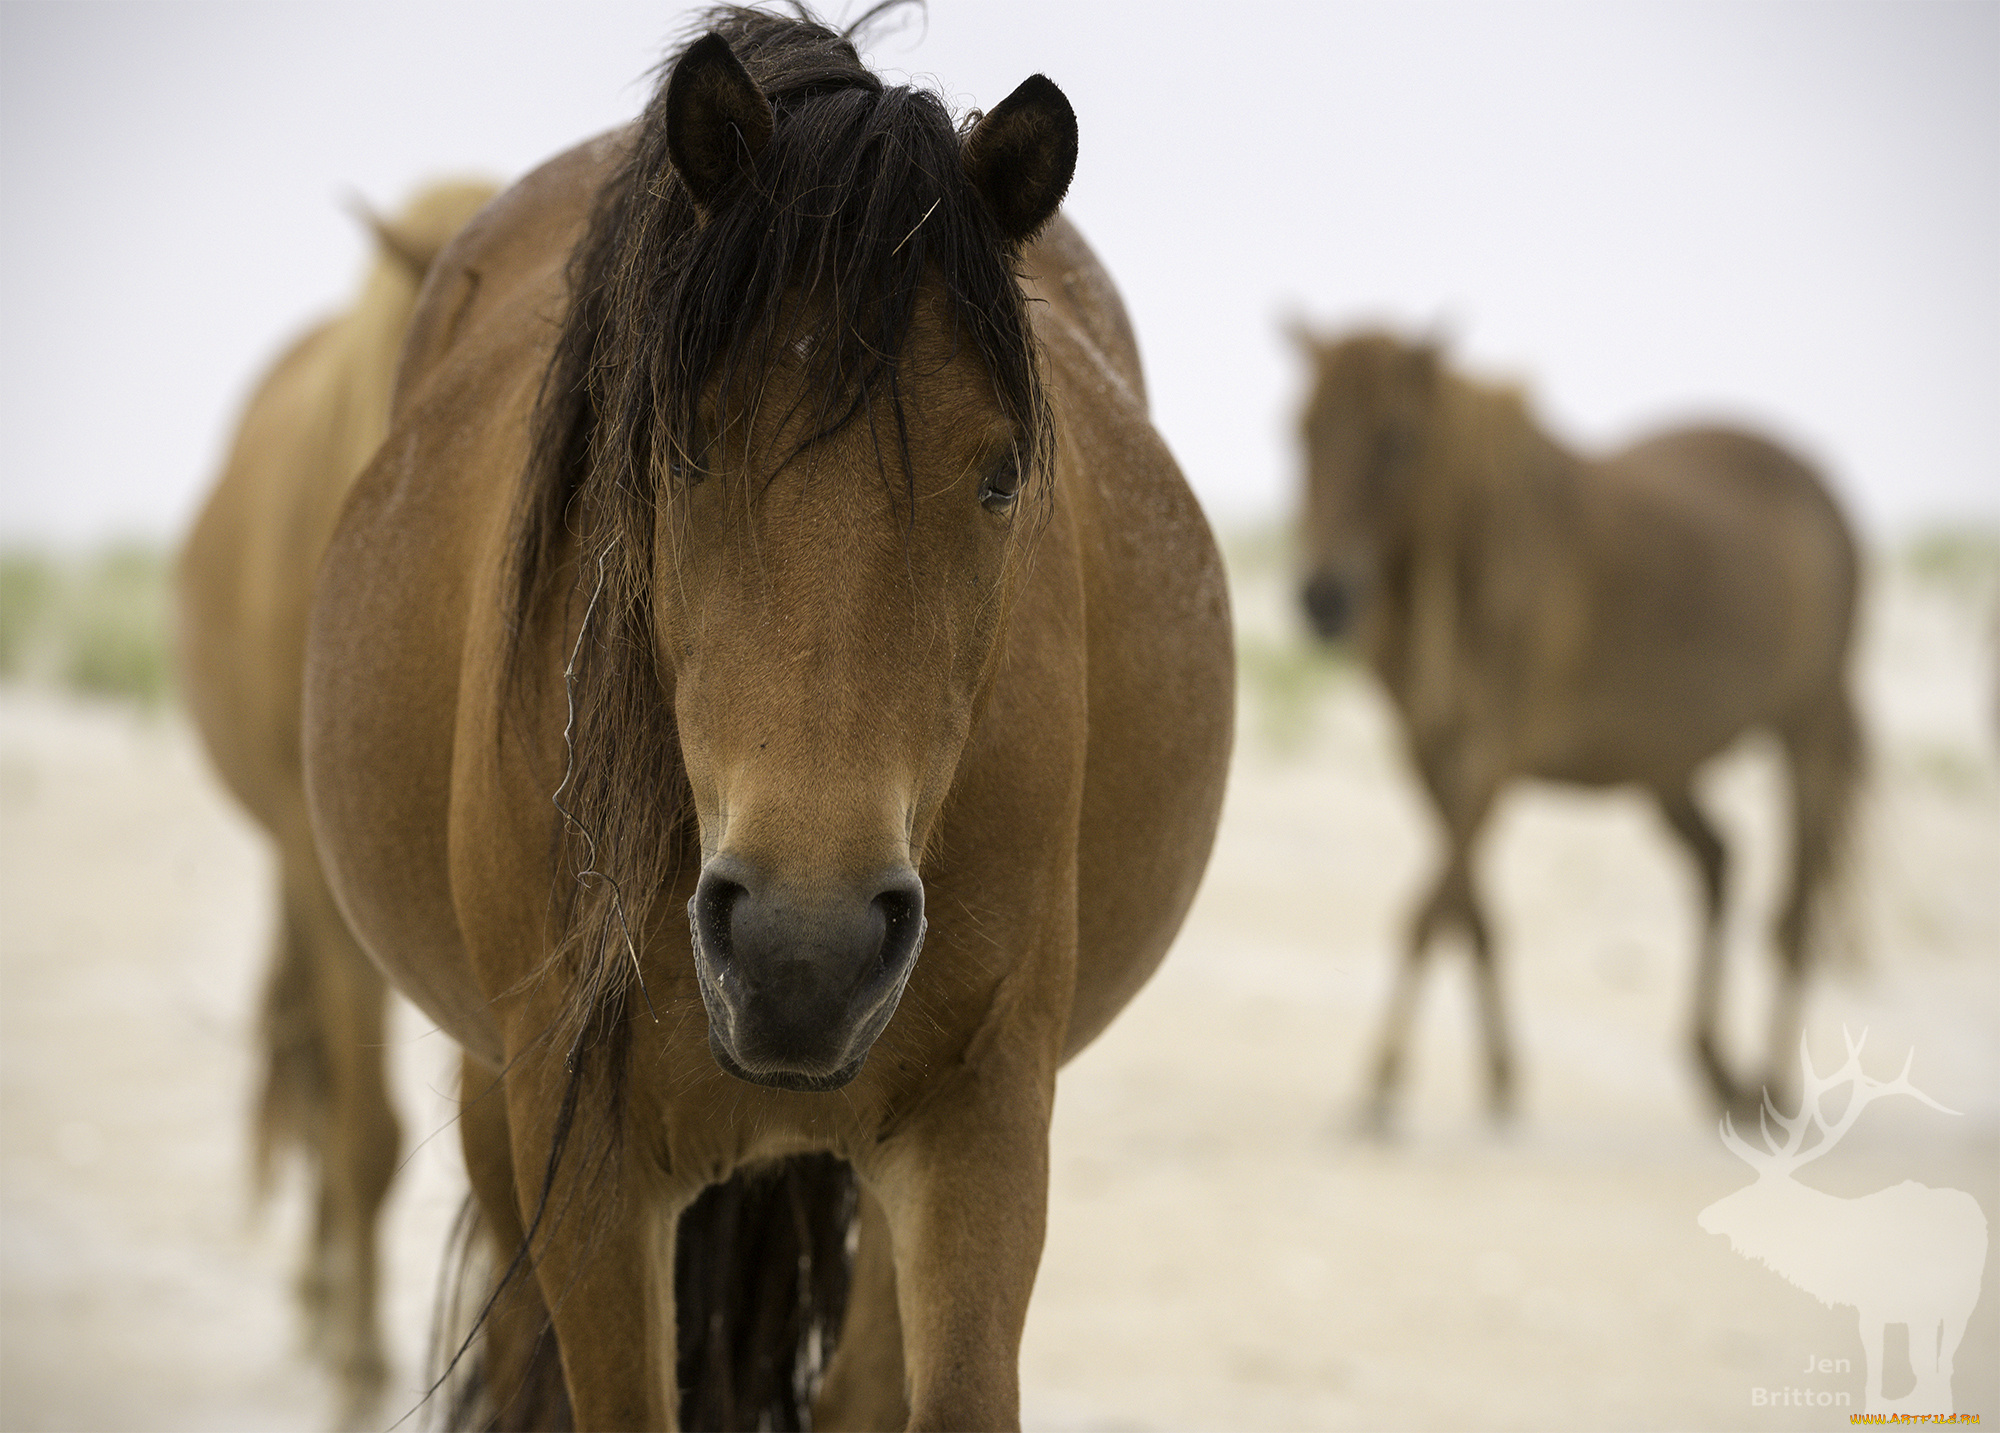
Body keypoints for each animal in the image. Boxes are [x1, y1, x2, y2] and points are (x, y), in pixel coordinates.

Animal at [298, 14, 1232, 1433]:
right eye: (680, 448)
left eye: (1002, 472)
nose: (807, 950)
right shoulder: (581, 1157)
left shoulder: (983, 1120)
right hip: (491, 1103)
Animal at [1288, 324, 1864, 1128]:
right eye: (1302, 431)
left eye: (1397, 438)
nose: (1322, 597)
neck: (1476, 553)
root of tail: (1824, 489)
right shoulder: (1424, 749)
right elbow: (1470, 910)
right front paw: (1500, 1078)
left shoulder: (1495, 750)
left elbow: (1431, 909)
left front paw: (1383, 1079)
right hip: (1664, 761)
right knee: (1719, 860)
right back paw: (1717, 1068)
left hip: (1806, 731)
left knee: (1798, 907)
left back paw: (1770, 1085)